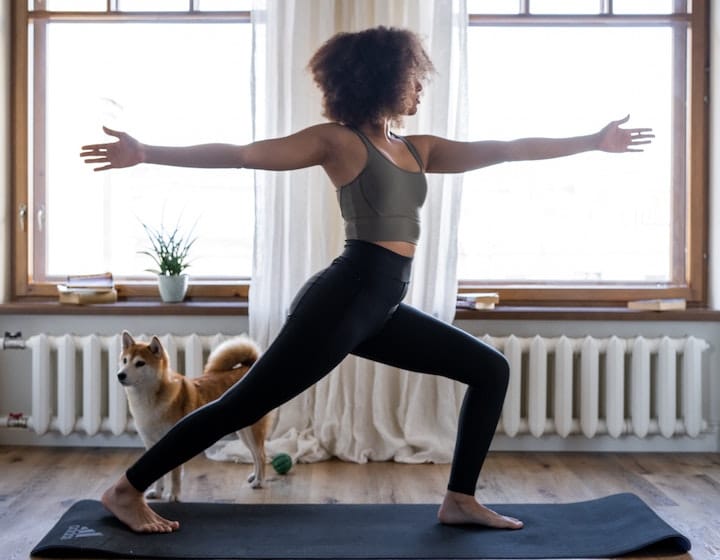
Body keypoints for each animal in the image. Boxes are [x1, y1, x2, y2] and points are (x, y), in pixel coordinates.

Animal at [118, 330, 276, 500]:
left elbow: (174, 475)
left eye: (140, 363)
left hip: (253, 431)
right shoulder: (150, 443)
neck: (149, 402)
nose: (120, 375)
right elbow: (156, 473)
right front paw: (157, 492)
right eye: (125, 360)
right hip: (244, 432)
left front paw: (173, 495)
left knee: (261, 455)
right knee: (254, 454)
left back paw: (259, 482)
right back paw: (254, 476)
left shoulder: (173, 441)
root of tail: (249, 367)